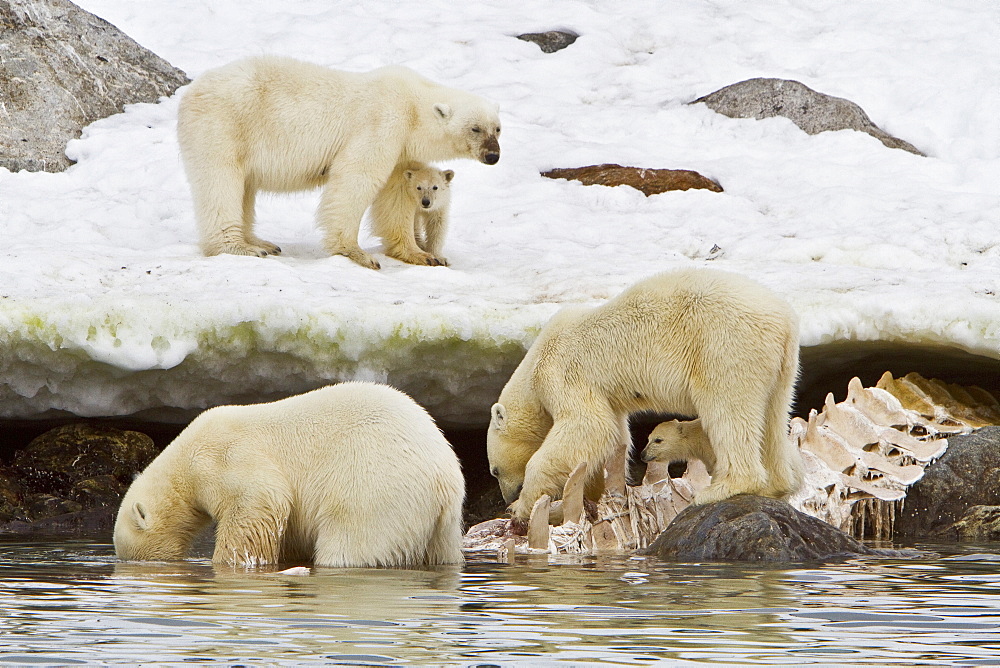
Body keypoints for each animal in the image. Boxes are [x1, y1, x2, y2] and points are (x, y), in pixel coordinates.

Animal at [113, 384, 464, 568]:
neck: (186, 456)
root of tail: (445, 478)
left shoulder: (227, 457)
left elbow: (257, 504)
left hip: (374, 488)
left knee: (350, 546)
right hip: (441, 526)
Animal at [177, 55, 500, 268]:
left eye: (497, 128)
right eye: (475, 128)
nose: (493, 155)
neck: (412, 105)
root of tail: (191, 90)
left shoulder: (403, 149)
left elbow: (395, 194)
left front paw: (422, 254)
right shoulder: (381, 123)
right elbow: (357, 178)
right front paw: (357, 253)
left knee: (244, 188)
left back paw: (261, 243)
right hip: (223, 125)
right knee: (221, 182)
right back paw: (240, 247)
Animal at [486, 268, 804, 520]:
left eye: (494, 471)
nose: (507, 496)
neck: (536, 361)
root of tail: (784, 319)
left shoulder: (564, 373)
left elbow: (586, 425)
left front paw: (521, 508)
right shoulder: (607, 396)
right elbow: (612, 437)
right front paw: (594, 491)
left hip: (725, 345)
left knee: (727, 408)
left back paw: (722, 488)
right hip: (780, 364)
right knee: (774, 416)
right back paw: (776, 484)